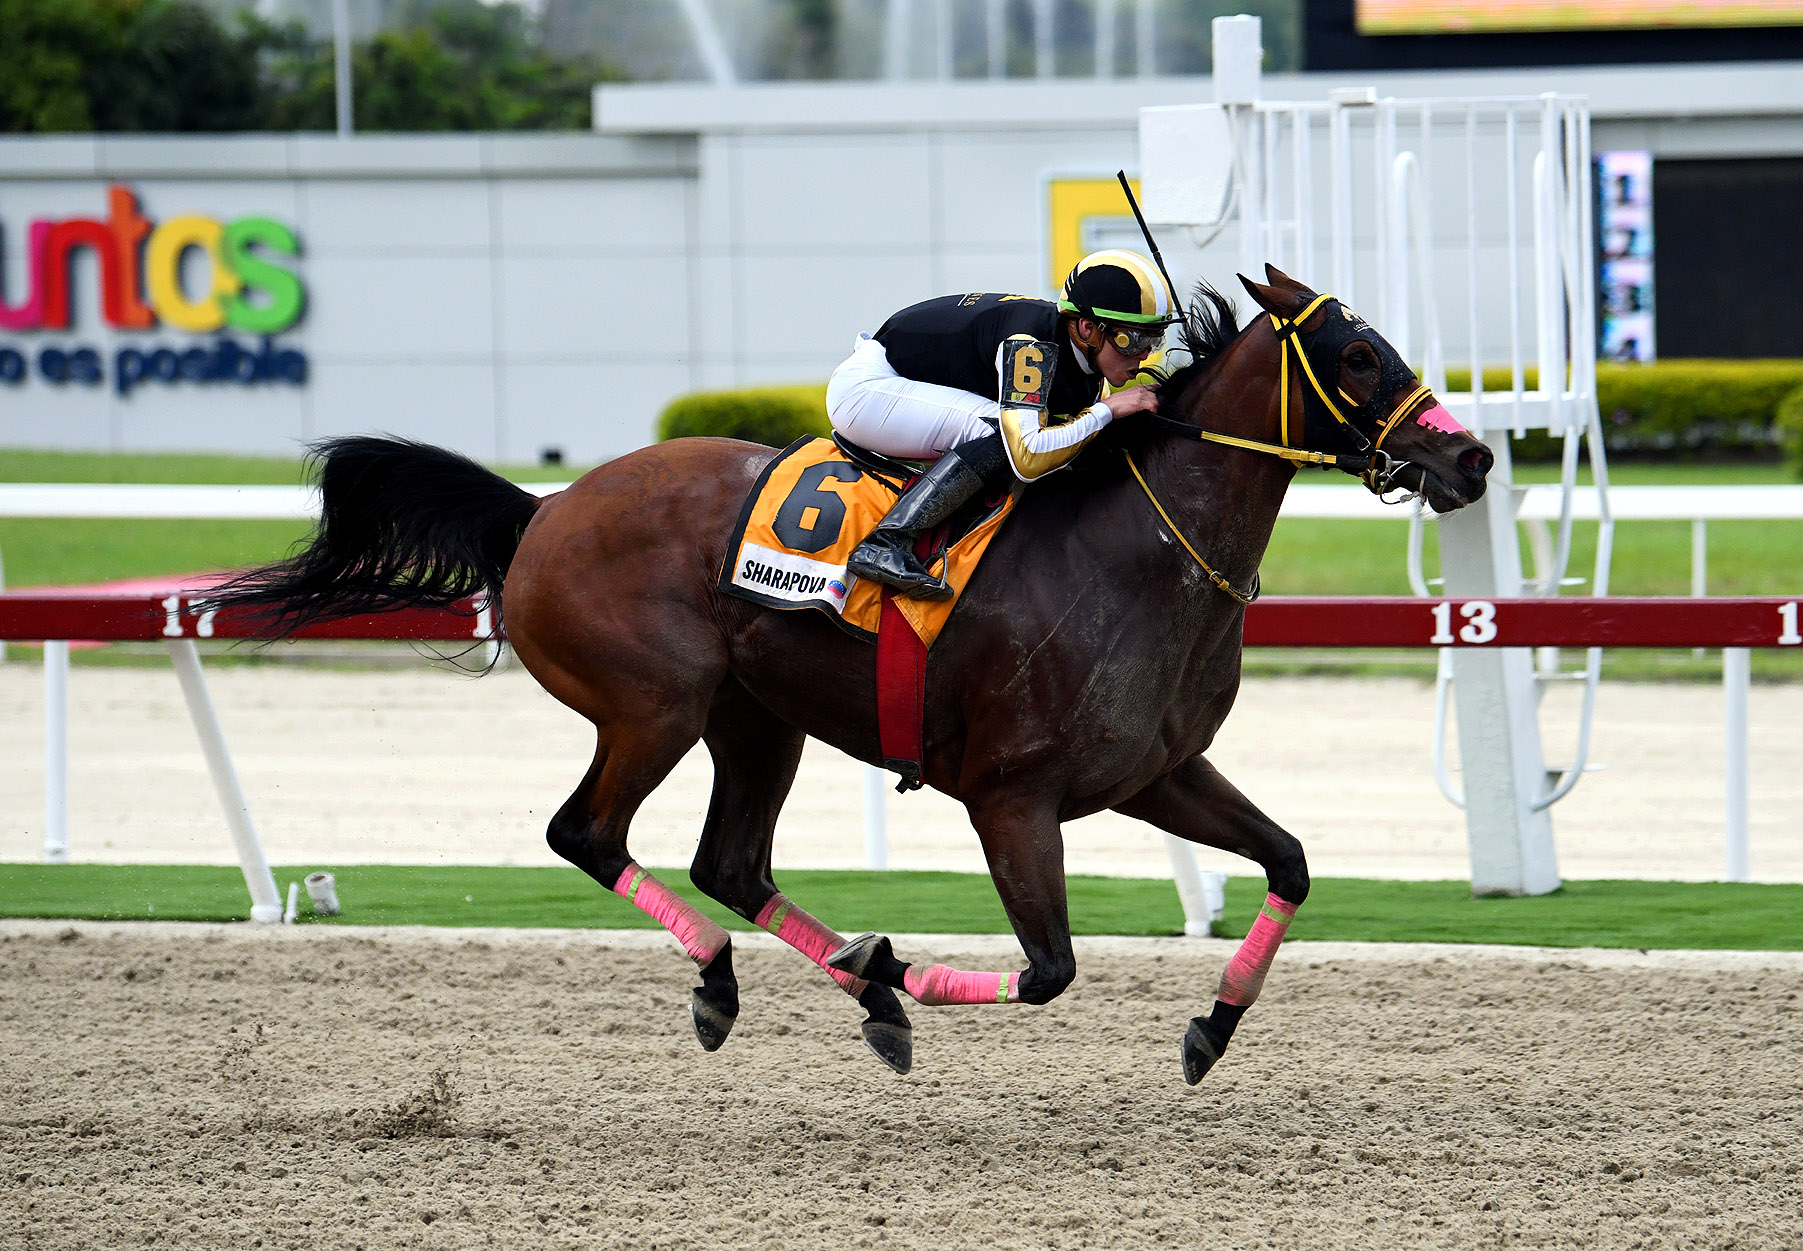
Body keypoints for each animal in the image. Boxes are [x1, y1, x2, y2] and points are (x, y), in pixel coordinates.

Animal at [212, 265, 1493, 1085]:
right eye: (1358, 354)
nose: (1472, 458)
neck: (1136, 548)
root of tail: (544, 512)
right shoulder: (1011, 796)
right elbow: (1049, 970)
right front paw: (903, 970)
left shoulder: (1157, 774)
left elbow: (1291, 862)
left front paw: (1211, 1028)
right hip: (653, 704)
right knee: (587, 833)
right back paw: (752, 980)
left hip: (755, 719)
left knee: (729, 860)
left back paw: (840, 983)